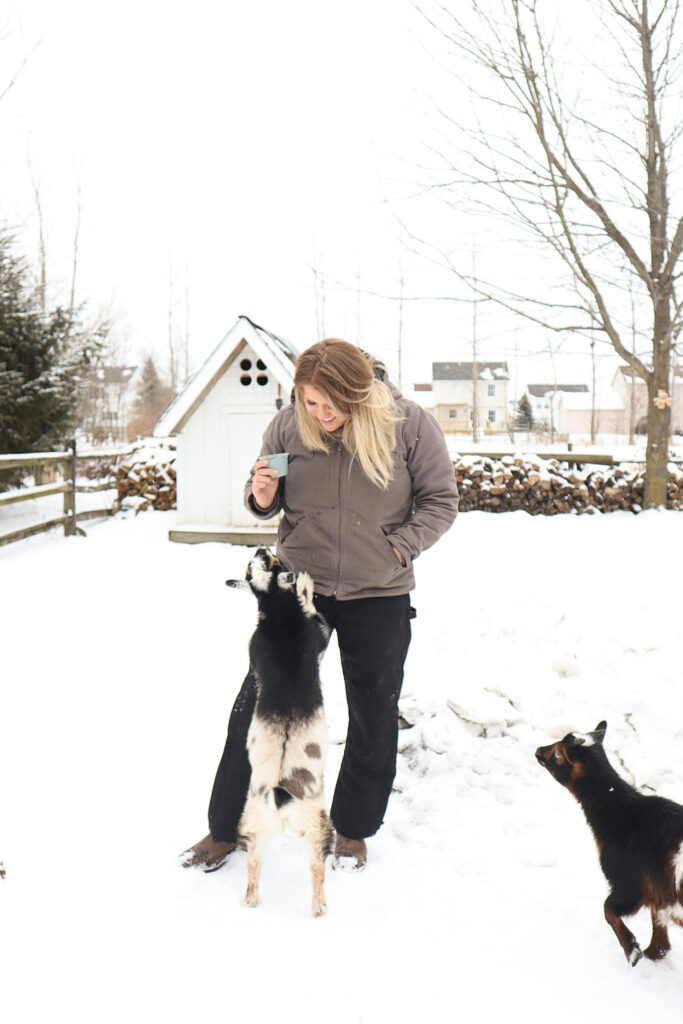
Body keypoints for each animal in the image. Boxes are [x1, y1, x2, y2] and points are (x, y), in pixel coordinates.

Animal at [228, 548, 335, 917]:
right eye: (271, 564)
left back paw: (250, 900)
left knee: (254, 862)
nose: (260, 549)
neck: (277, 614)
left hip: (254, 824)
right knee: (316, 865)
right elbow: (313, 608)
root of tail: (278, 792)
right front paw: (305, 583)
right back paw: (319, 908)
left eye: (255, 568)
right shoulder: (319, 631)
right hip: (317, 824)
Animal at [536, 720, 683, 966]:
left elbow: (608, 909)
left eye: (557, 754)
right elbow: (658, 923)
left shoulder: (627, 882)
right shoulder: (656, 890)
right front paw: (653, 953)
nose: (538, 750)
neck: (622, 816)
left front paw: (633, 952)